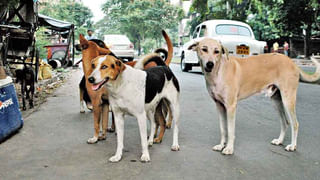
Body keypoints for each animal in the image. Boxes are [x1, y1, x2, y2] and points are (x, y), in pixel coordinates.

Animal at [189, 37, 320, 155]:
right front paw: (221, 145)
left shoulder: (231, 107)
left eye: (217, 51)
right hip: (276, 101)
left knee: (295, 123)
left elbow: (230, 130)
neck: (219, 71)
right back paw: (279, 141)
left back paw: (292, 146)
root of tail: (291, 62)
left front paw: (229, 148)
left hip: (288, 100)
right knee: (285, 122)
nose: (210, 64)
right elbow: (223, 129)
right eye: (204, 49)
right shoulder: (220, 106)